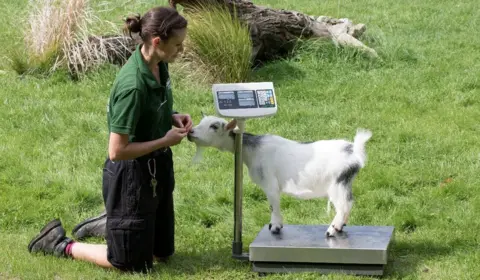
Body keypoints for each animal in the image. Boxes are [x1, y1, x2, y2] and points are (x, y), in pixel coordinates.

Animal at [186, 115, 374, 237]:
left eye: (214, 126)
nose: (190, 132)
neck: (251, 151)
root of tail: (354, 151)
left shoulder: (270, 184)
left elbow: (273, 205)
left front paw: (275, 227)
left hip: (337, 183)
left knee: (344, 205)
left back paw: (332, 230)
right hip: (344, 183)